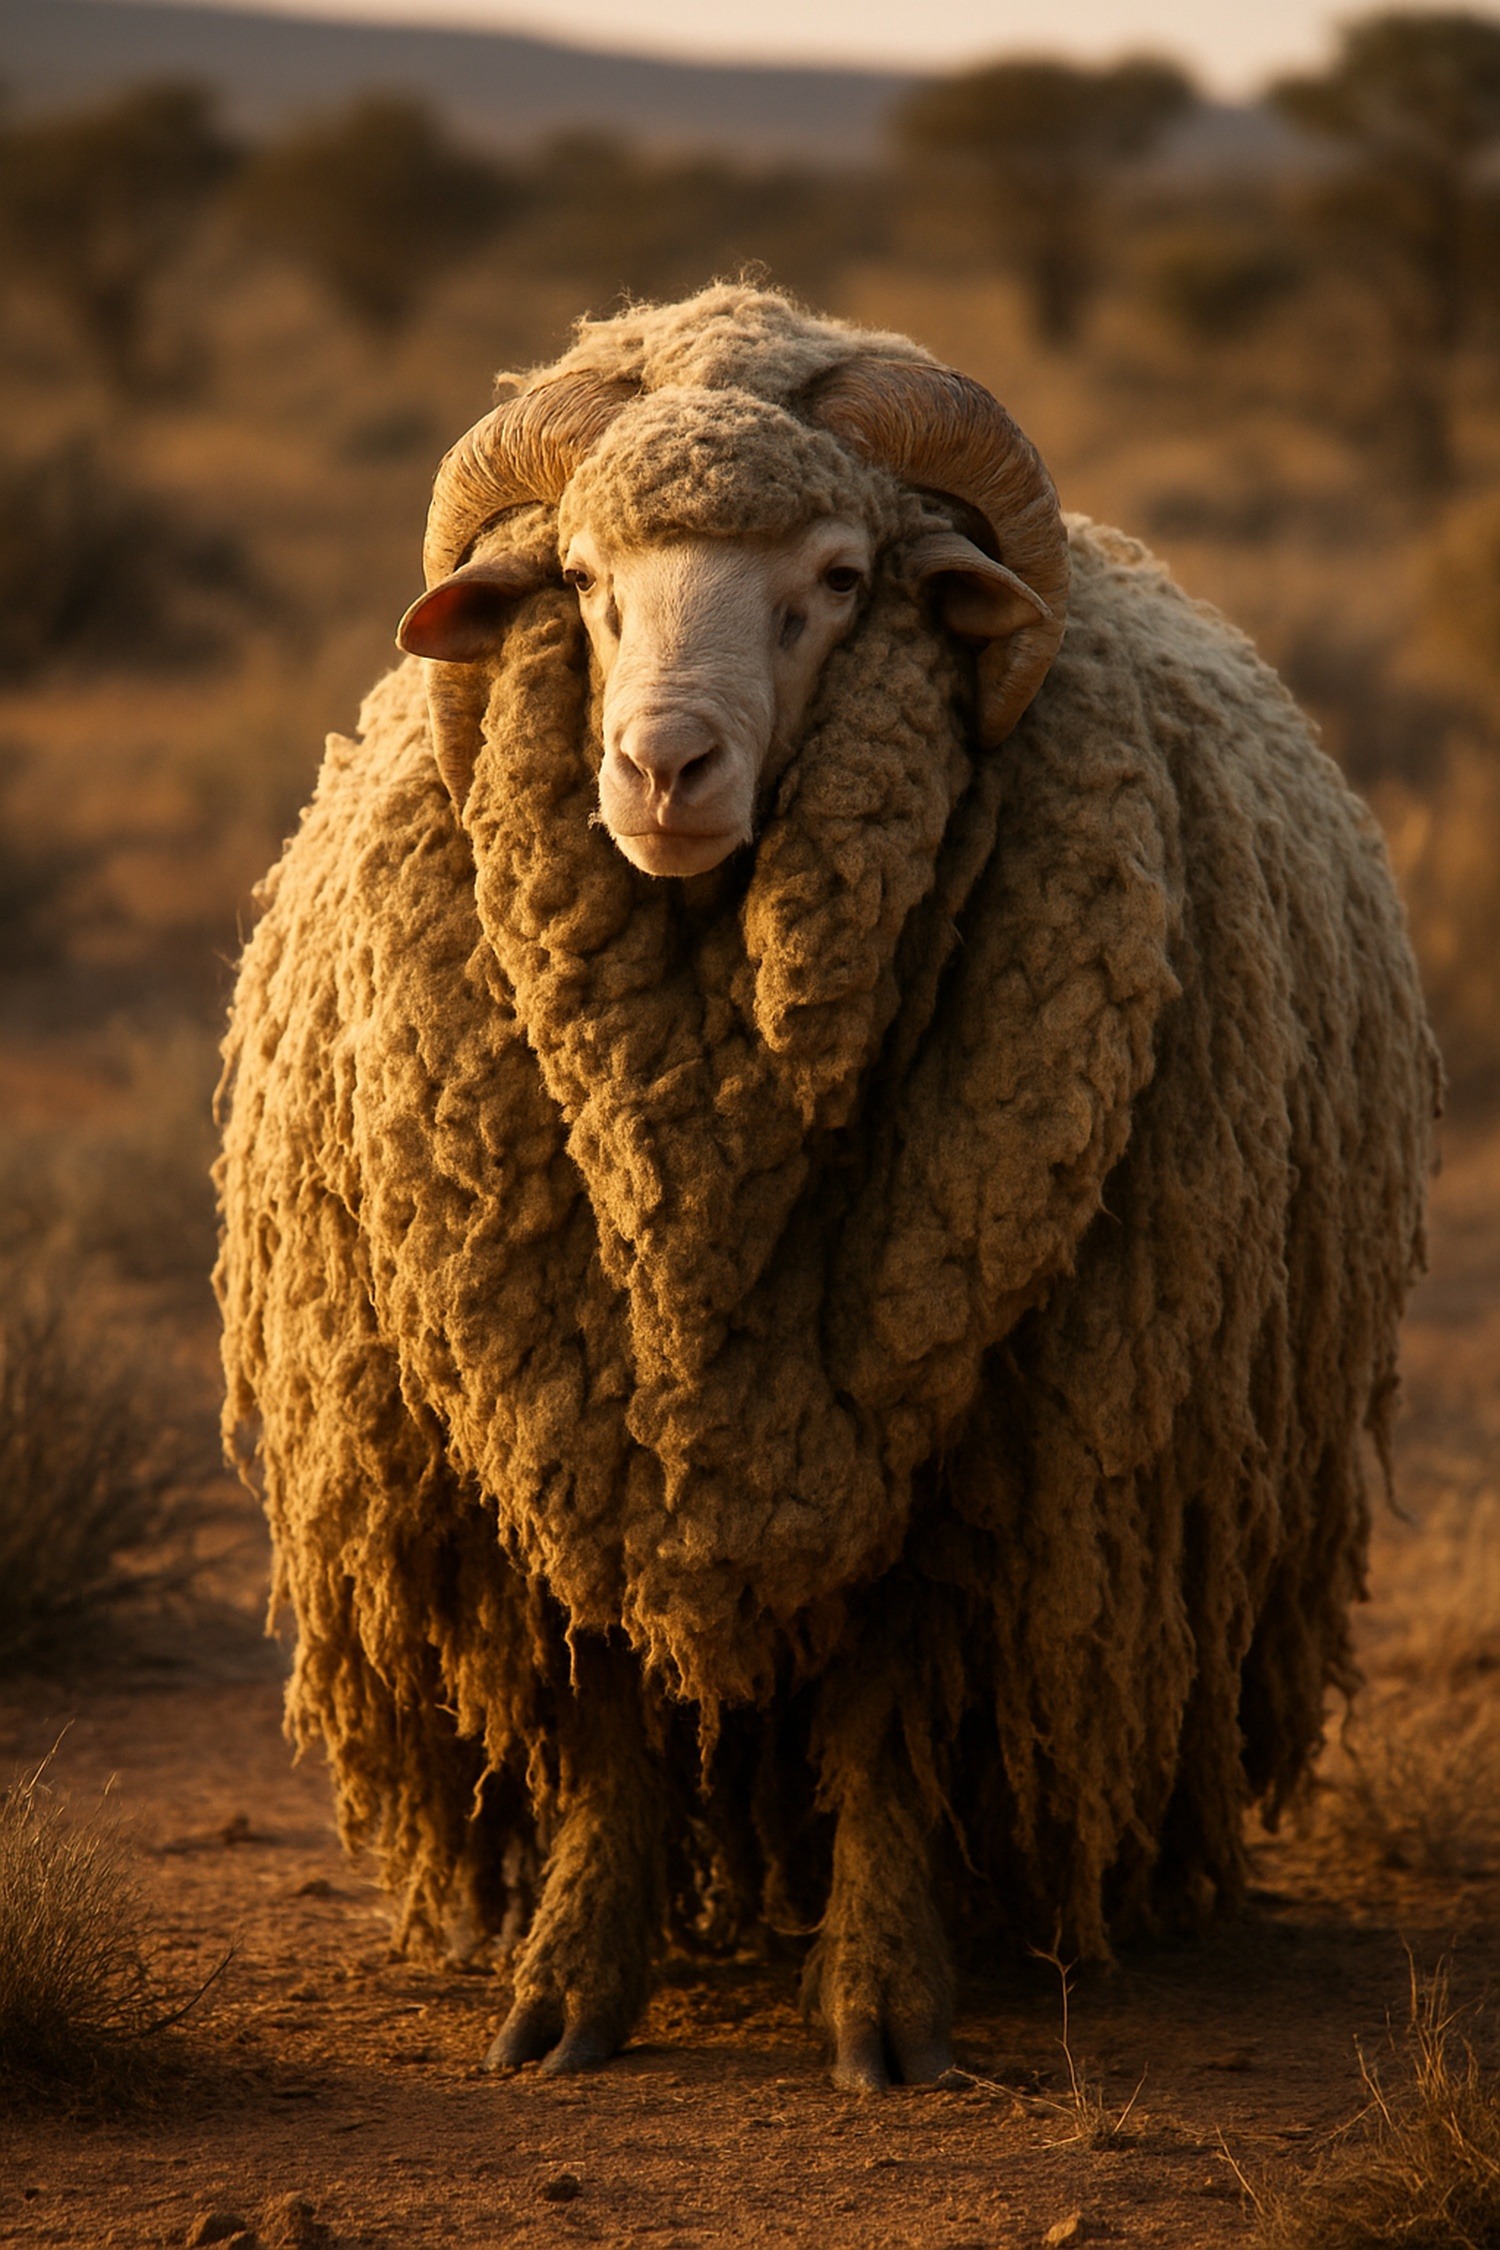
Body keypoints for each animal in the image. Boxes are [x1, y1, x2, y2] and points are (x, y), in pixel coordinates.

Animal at [215, 282, 1439, 2092]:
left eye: (843, 580)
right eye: (581, 578)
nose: (662, 769)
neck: (698, 1180)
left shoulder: (954, 1443)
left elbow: (885, 1718)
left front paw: (879, 2000)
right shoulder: (555, 1426)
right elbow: (604, 1721)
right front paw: (568, 1992)